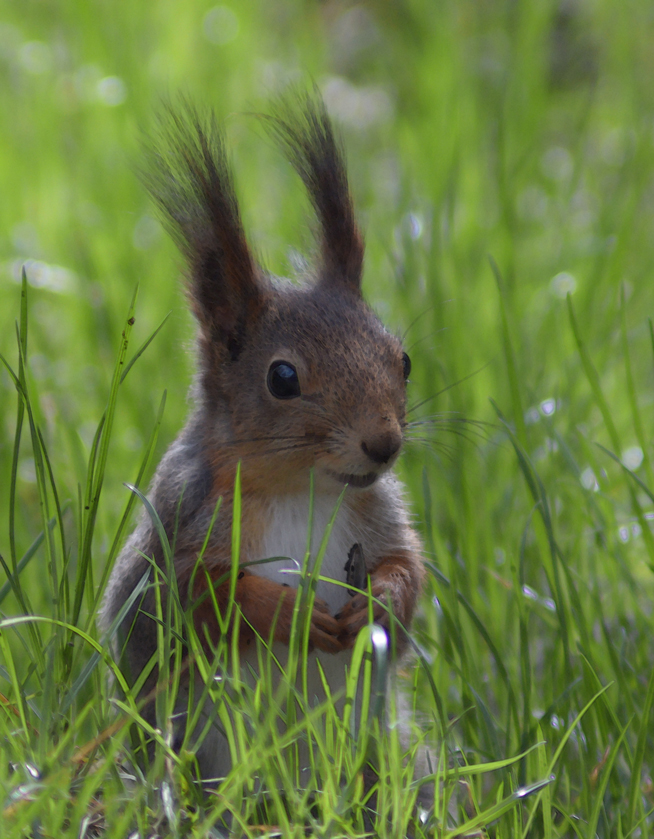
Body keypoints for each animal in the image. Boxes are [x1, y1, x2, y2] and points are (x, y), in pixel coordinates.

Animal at [98, 90, 426, 780]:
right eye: (282, 377)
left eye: (403, 360)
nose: (383, 444)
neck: (301, 489)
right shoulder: (178, 517)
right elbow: (177, 605)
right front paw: (286, 613)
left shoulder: (378, 510)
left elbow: (408, 572)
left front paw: (380, 601)